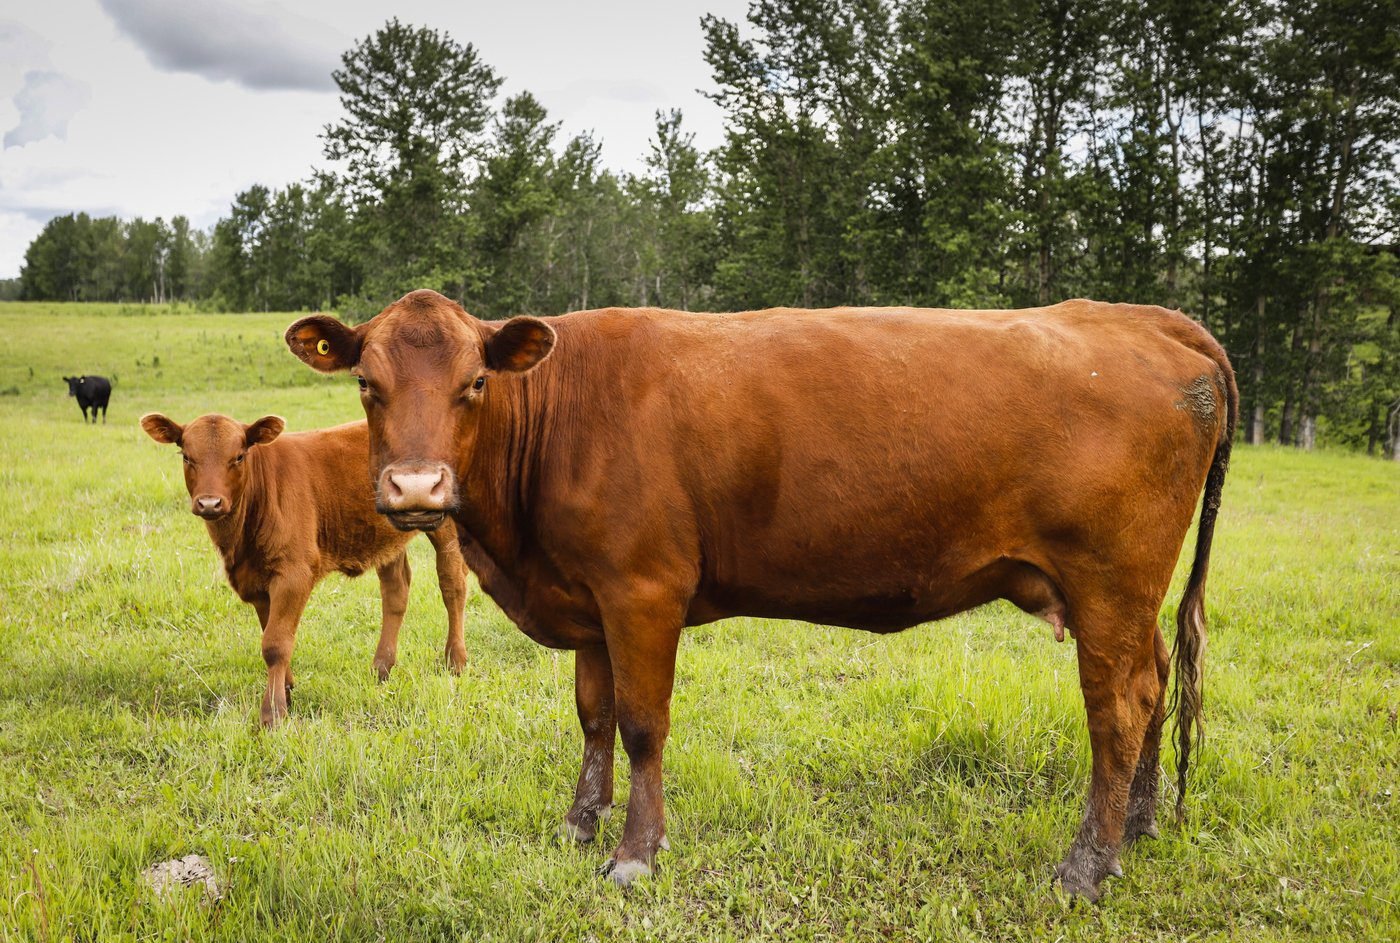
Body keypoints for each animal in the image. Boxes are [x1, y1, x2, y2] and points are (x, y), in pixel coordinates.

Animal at [140, 412, 472, 728]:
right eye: (186, 456)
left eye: (239, 456)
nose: (209, 503)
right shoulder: (258, 580)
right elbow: (272, 633)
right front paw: (286, 692)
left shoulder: (294, 573)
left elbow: (275, 644)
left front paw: (272, 714)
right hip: (385, 537)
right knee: (396, 591)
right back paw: (381, 668)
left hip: (446, 528)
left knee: (452, 585)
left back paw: (455, 661)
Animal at [285, 291, 1236, 902]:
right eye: (366, 384)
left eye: (474, 383)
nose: (414, 488)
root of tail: (1146, 317)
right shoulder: (587, 597)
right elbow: (593, 716)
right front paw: (580, 822)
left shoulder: (642, 589)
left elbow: (641, 723)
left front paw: (635, 853)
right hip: (1129, 598)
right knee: (1151, 687)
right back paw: (1138, 828)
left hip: (1109, 581)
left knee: (1117, 708)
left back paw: (1085, 868)